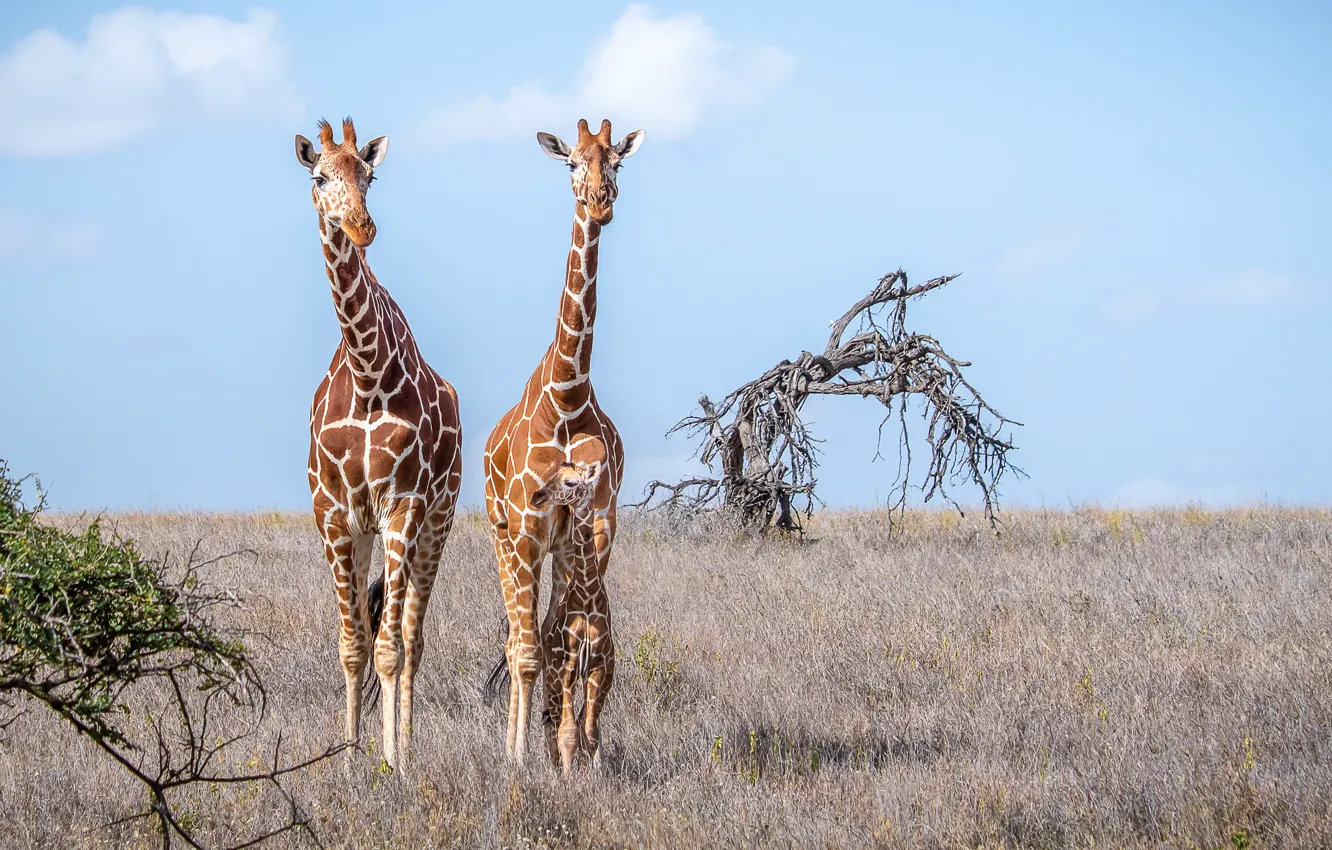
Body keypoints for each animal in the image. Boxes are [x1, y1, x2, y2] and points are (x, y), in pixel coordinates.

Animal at [293, 114, 463, 772]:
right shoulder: (335, 513)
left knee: (412, 639)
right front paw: (346, 759)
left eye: (369, 174)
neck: (368, 374)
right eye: (319, 175)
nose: (361, 226)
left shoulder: (403, 505)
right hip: (369, 531)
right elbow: (352, 646)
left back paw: (408, 750)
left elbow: (390, 648)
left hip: (436, 522)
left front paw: (392, 764)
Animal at [527, 450, 615, 778]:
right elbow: (568, 732)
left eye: (570, 482)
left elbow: (589, 731)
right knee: (551, 722)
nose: (537, 496)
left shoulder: (600, 666)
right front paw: (567, 778)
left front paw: (597, 775)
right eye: (550, 475)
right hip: (551, 678)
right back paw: (555, 768)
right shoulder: (566, 666)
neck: (588, 595)